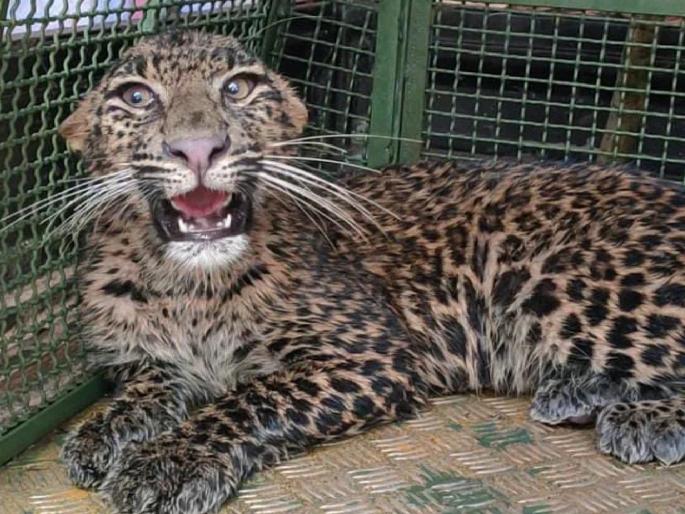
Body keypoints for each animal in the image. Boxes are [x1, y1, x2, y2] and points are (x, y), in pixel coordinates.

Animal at [55, 31, 685, 514]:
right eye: (136, 96)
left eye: (237, 87)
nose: (198, 147)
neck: (187, 287)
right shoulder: (146, 358)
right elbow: (148, 384)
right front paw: (103, 429)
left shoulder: (372, 354)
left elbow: (251, 396)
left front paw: (169, 460)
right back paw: (575, 391)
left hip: (562, 280)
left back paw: (643, 417)